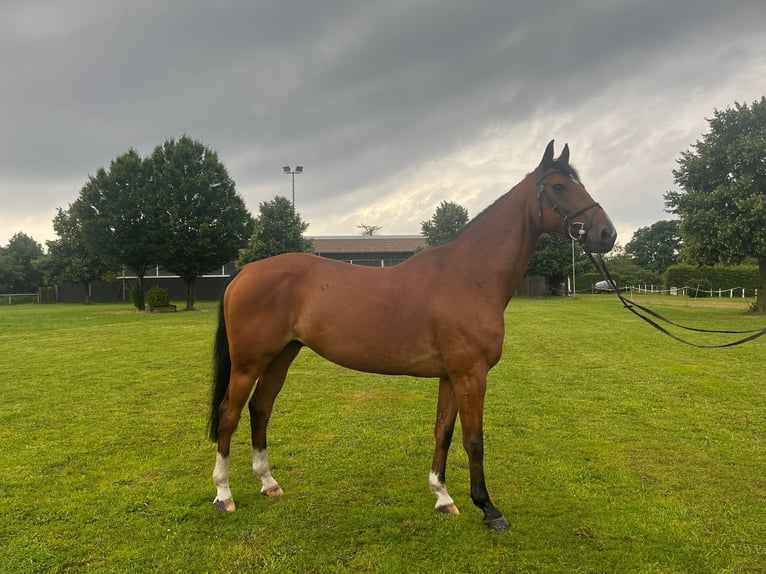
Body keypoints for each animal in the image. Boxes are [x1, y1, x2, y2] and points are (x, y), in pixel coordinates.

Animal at [207, 141, 616, 532]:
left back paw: (269, 483)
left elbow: (443, 432)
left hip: (281, 356)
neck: (469, 275)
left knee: (260, 409)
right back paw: (224, 495)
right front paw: (488, 508)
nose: (606, 233)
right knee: (229, 414)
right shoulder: (471, 374)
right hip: (248, 363)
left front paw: (443, 497)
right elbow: (474, 440)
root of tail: (246, 271)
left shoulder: (451, 376)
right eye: (560, 187)